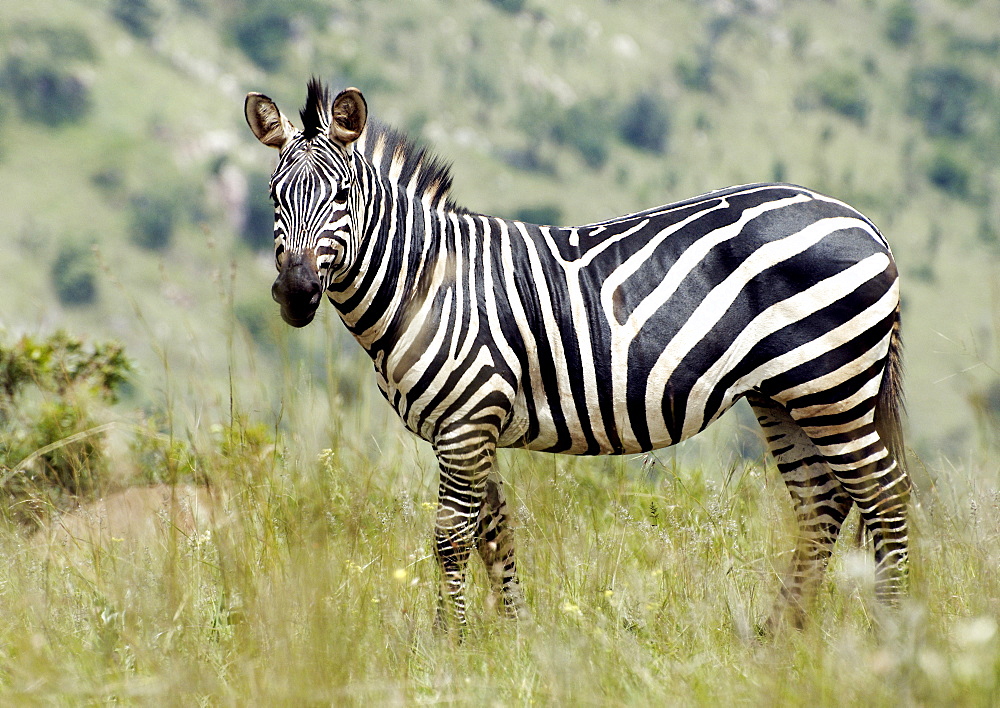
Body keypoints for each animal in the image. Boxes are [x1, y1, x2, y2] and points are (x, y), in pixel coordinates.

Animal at [246, 80, 912, 628]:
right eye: (275, 197)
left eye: (342, 197)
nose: (296, 293)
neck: (428, 279)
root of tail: (862, 221)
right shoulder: (472, 426)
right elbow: (495, 533)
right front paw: (511, 639)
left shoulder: (466, 421)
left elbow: (451, 538)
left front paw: (449, 642)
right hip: (785, 395)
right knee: (821, 505)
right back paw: (778, 639)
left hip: (833, 387)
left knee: (887, 497)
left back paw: (892, 635)